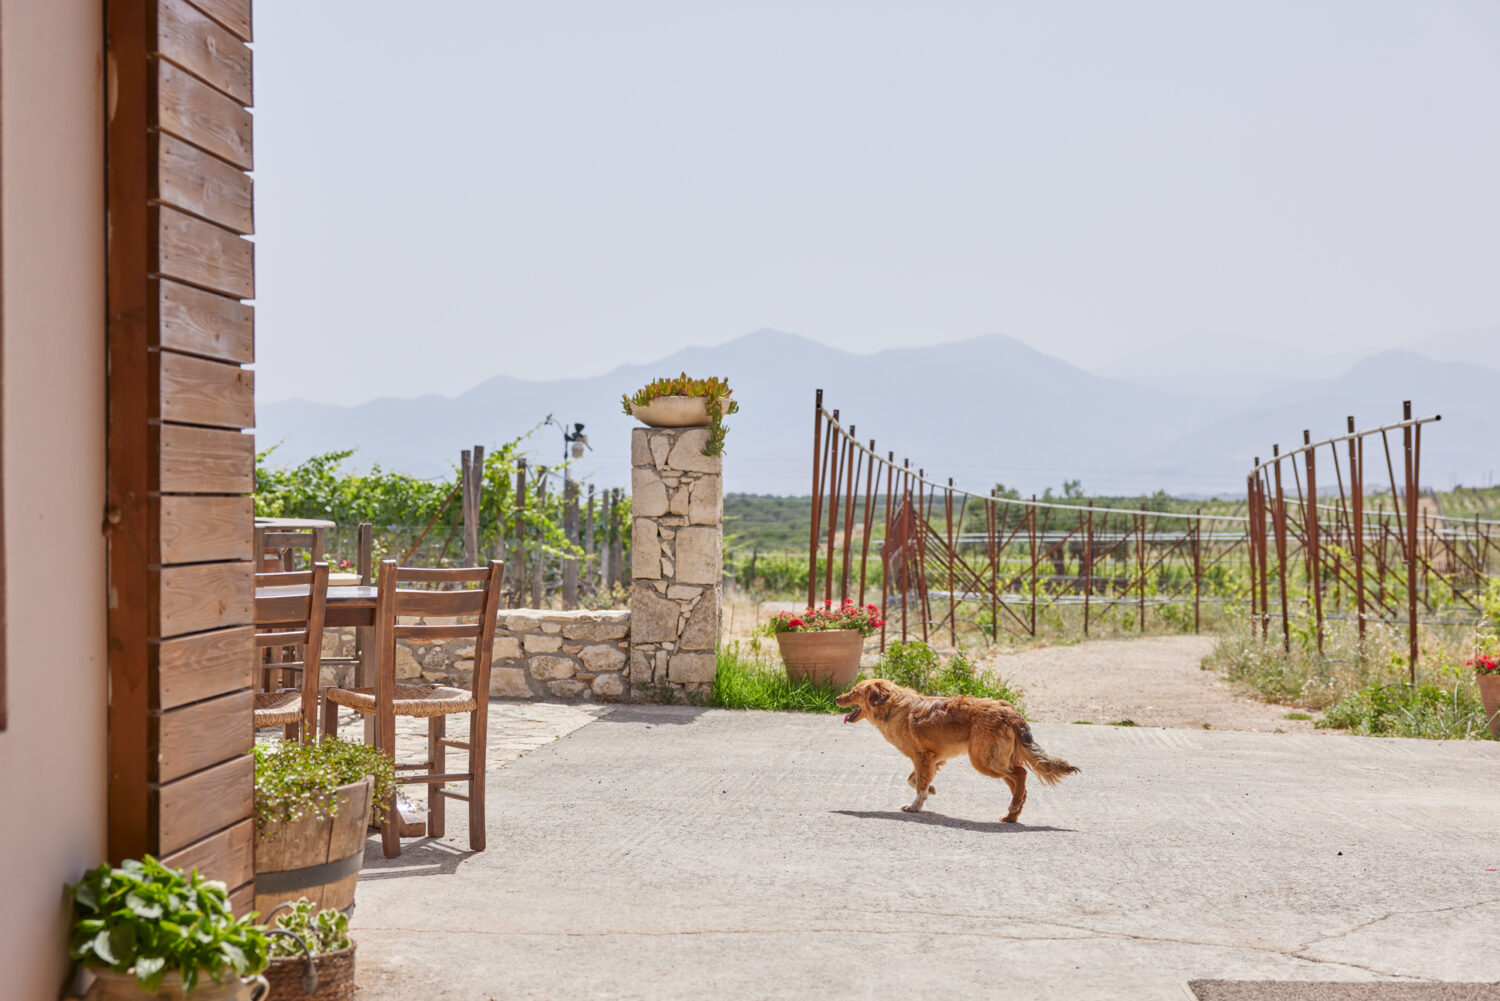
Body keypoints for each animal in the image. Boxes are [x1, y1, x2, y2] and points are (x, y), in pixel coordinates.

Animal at [840, 681, 1074, 822]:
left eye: (853, 691)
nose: (835, 699)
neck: (892, 706)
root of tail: (1009, 711)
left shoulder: (922, 757)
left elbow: (919, 784)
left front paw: (915, 806)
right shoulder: (933, 759)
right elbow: (914, 780)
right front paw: (930, 790)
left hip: (984, 761)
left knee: (1021, 774)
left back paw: (1014, 807)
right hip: (995, 760)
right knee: (1019, 784)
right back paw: (1011, 814)